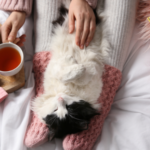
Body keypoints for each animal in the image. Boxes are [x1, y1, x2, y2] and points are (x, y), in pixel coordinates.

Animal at [31, 1, 109, 139]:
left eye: (70, 108)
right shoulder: (54, 69)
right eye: (55, 110)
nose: (60, 98)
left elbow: (80, 75)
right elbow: (64, 73)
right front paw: (74, 63)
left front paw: (76, 64)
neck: (67, 91)